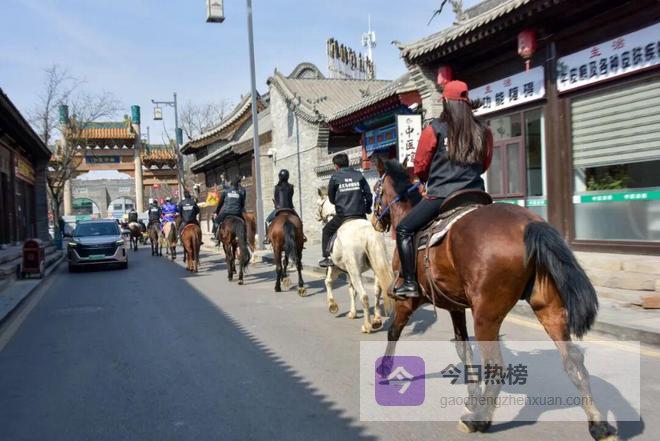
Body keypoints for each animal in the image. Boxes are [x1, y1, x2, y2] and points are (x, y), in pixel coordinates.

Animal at [316, 196, 394, 334]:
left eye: (319, 205)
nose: (317, 216)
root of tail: (367, 232)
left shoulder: (335, 267)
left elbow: (328, 282)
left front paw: (332, 305)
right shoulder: (348, 272)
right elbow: (352, 291)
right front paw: (353, 313)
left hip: (354, 270)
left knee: (364, 296)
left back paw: (367, 326)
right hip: (376, 266)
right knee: (377, 291)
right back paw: (377, 320)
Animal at [371, 159, 615, 440]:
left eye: (376, 189)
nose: (375, 220)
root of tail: (527, 224)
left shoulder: (408, 301)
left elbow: (394, 332)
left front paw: (385, 369)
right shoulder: (455, 306)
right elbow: (463, 349)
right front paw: (473, 396)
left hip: (486, 315)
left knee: (496, 365)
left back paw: (479, 420)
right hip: (548, 306)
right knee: (573, 359)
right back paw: (598, 424)